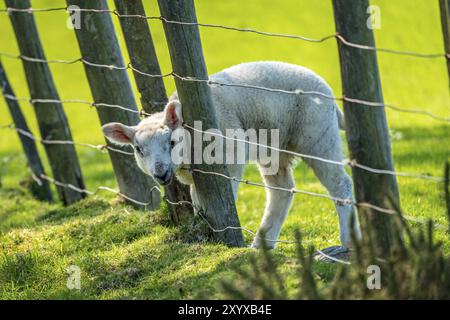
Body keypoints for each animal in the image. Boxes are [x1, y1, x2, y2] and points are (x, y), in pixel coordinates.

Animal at [103, 61, 362, 249]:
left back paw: (348, 239)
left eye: (172, 141)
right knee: (282, 190)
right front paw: (200, 221)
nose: (160, 173)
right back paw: (262, 243)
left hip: (318, 136)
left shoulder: (230, 154)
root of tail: (329, 94)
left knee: (340, 183)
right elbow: (196, 198)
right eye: (138, 149)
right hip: (274, 147)